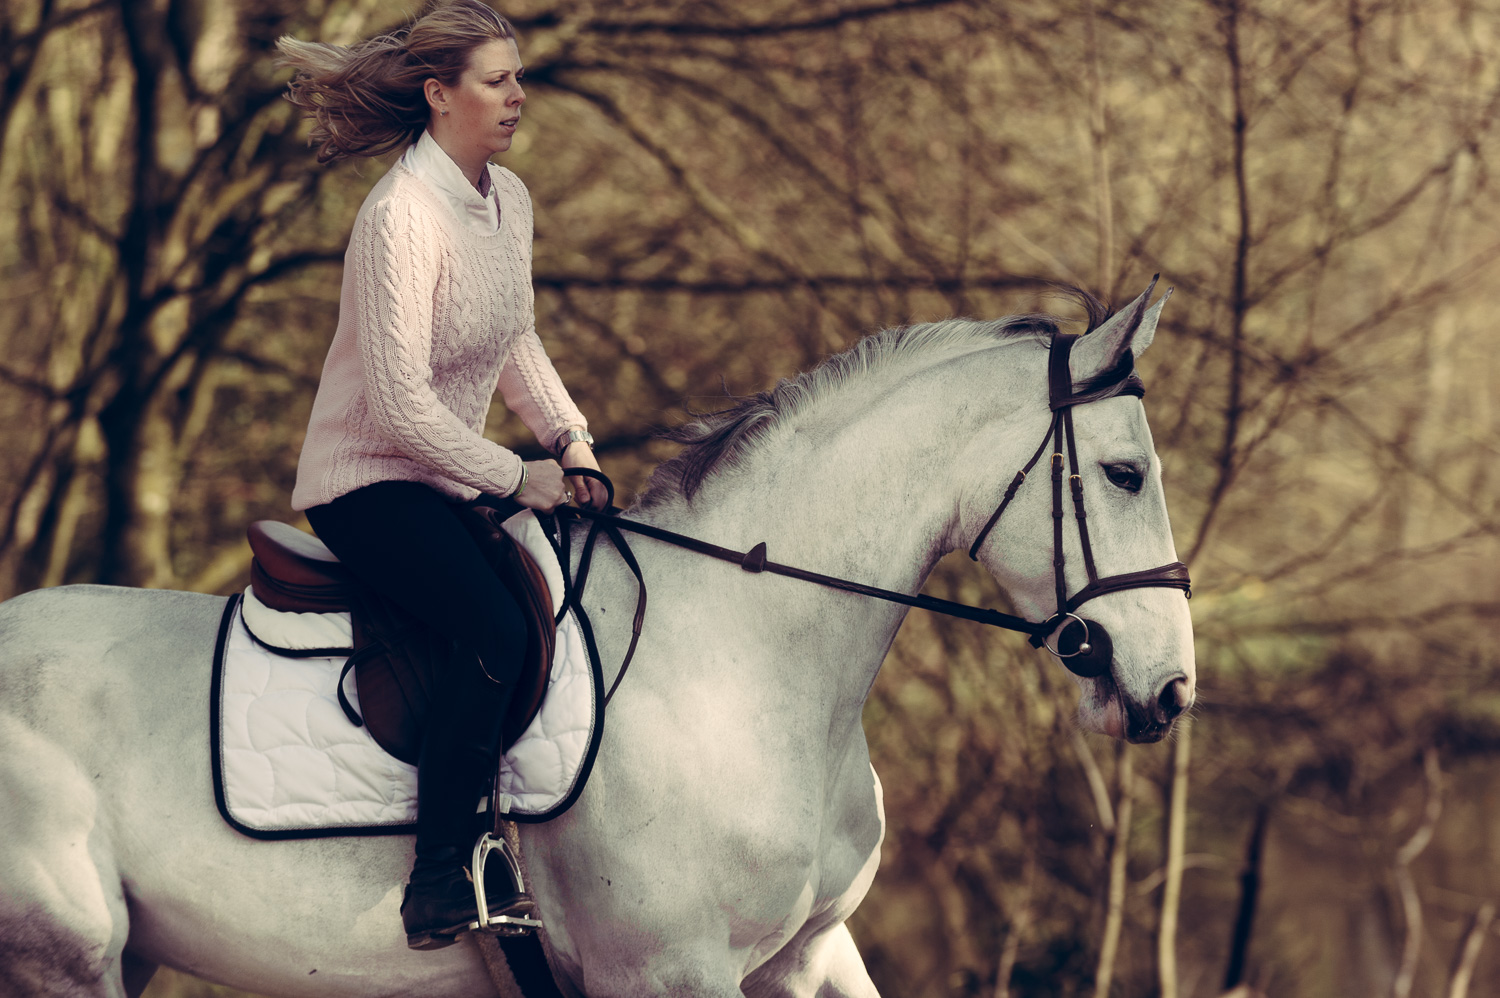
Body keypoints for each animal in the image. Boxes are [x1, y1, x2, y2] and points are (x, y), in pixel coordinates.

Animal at [0, 283, 1194, 990]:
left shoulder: (810, 954)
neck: (742, 663)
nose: (1170, 688)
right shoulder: (667, 973)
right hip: (66, 955)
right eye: (1126, 474)